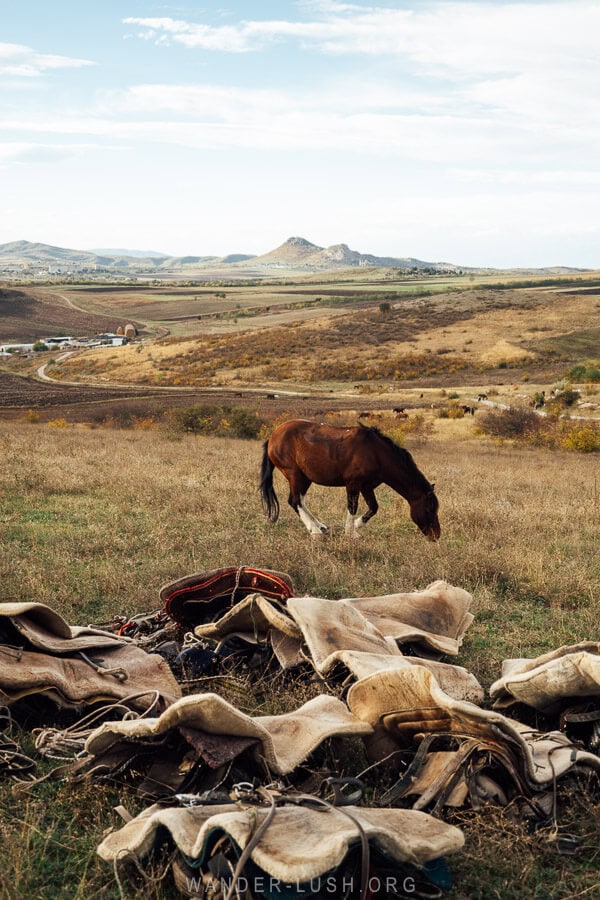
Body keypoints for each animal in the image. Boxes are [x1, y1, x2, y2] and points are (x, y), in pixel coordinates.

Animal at [259, 419, 440, 540]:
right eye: (429, 509)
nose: (436, 535)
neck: (376, 453)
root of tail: (273, 437)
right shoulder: (353, 484)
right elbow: (352, 507)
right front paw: (351, 531)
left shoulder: (367, 486)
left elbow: (374, 507)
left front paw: (357, 526)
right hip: (295, 475)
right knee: (295, 501)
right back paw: (314, 530)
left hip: (305, 478)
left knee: (300, 501)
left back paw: (320, 526)